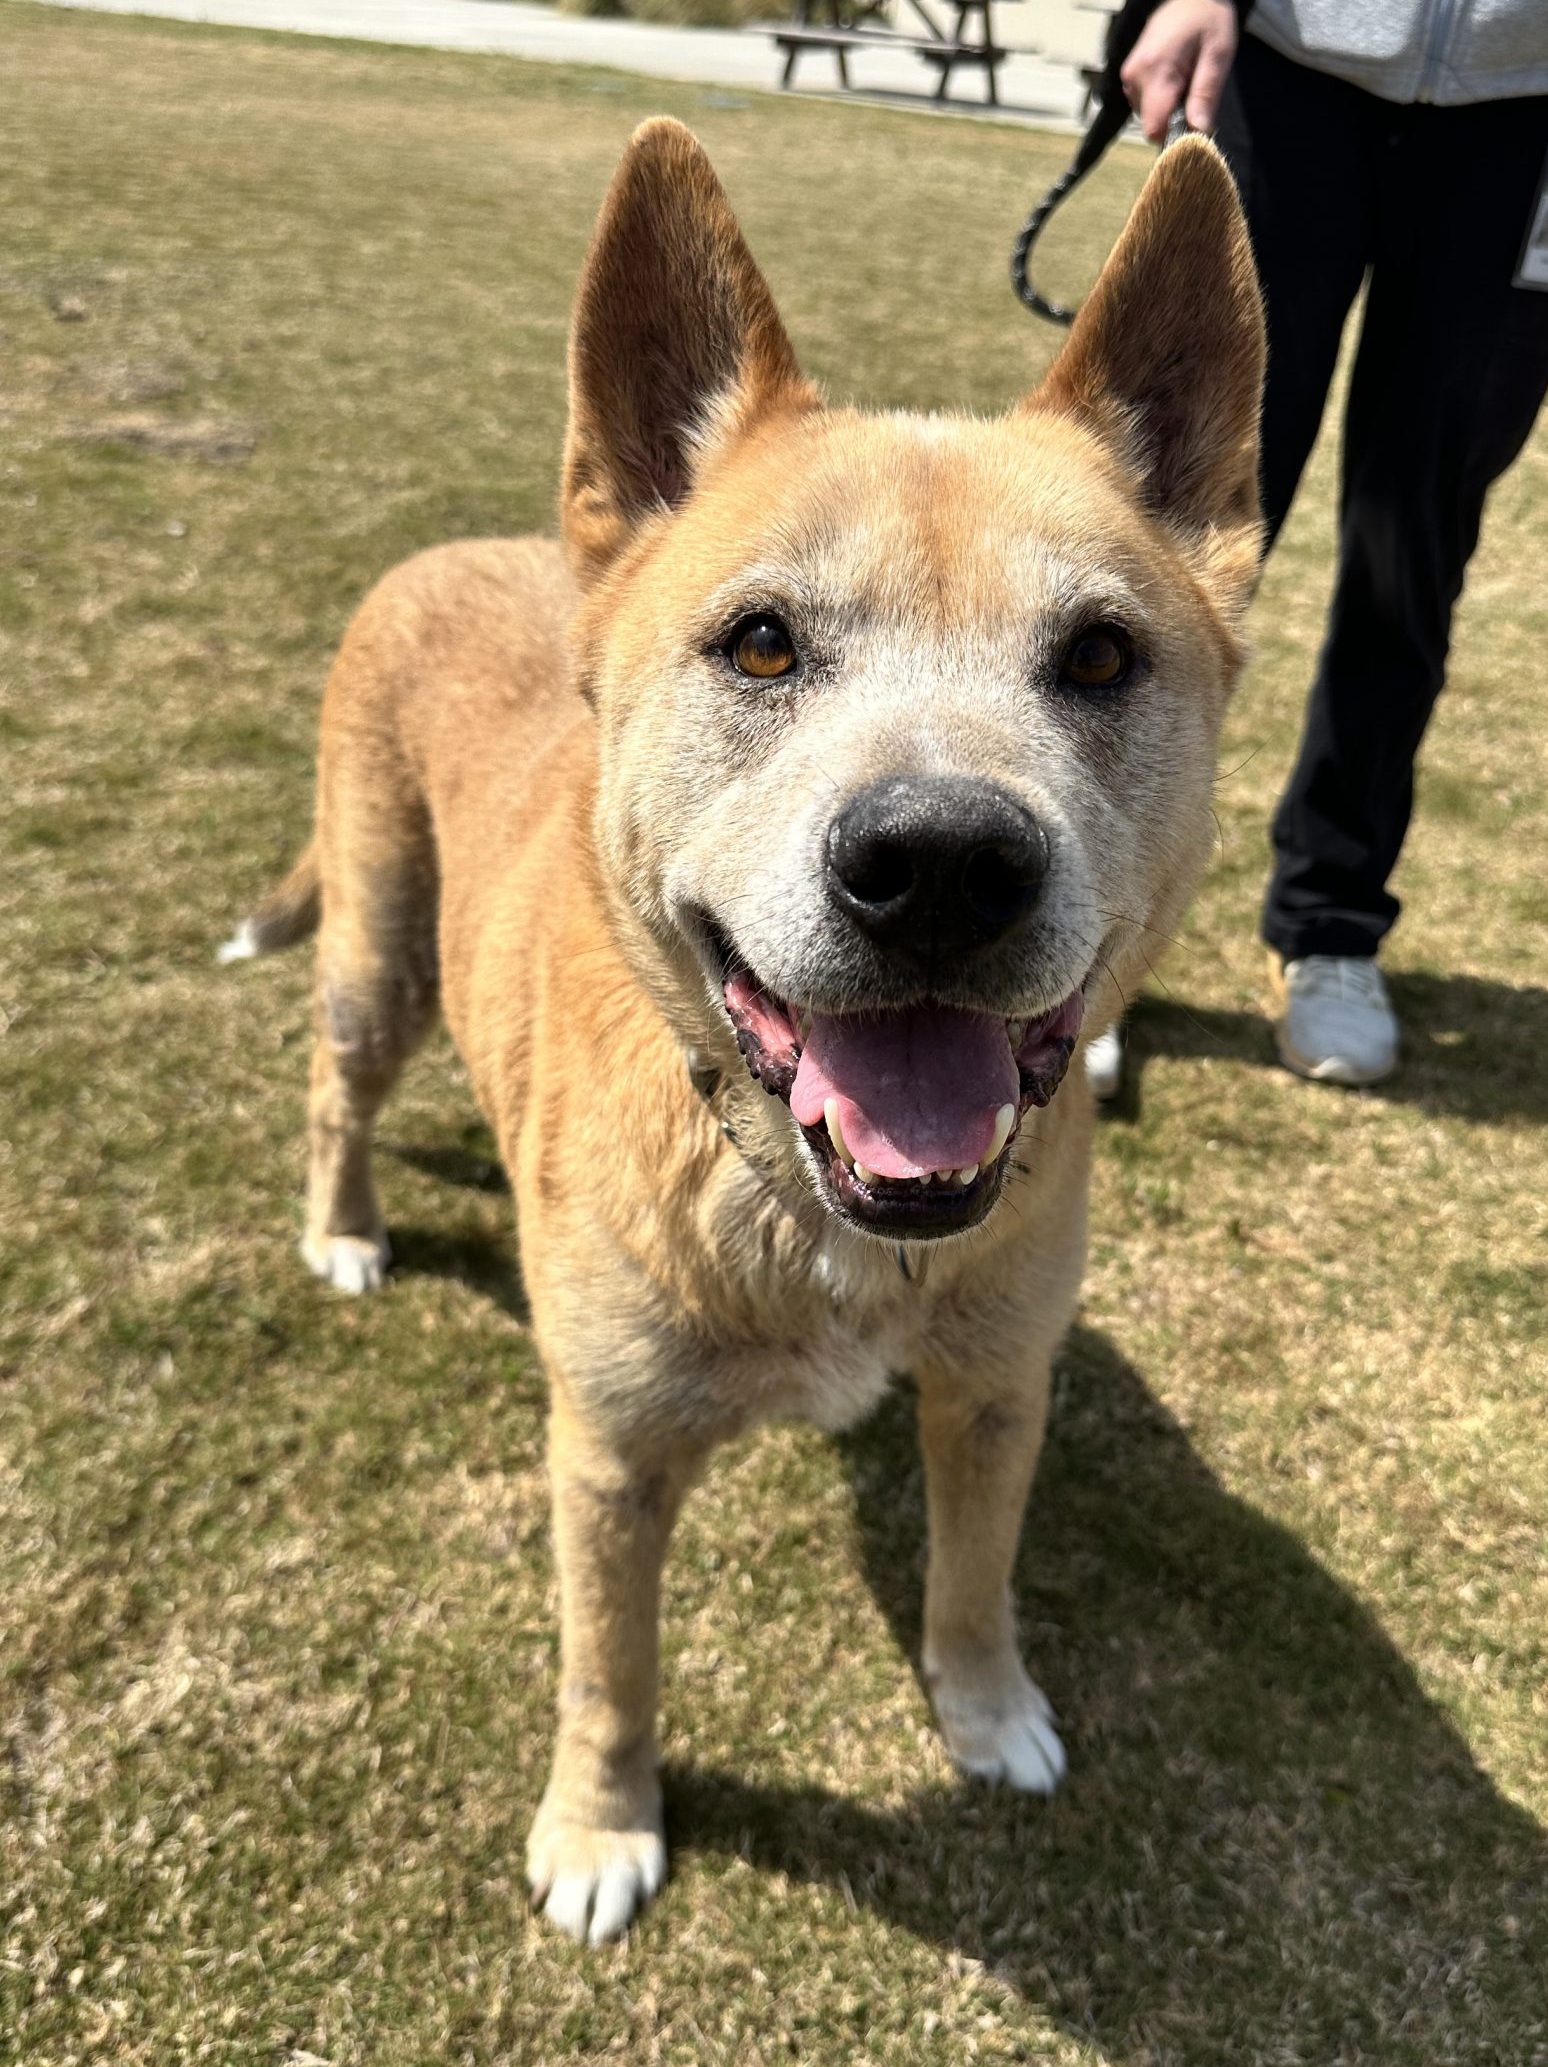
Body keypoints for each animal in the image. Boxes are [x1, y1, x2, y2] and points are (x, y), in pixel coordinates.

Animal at [226, 120, 1256, 1942]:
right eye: (761, 641)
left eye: (1098, 654)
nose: (941, 863)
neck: (805, 1202)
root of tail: (461, 548)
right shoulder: (608, 1452)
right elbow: (608, 1670)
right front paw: (599, 1825)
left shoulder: (997, 1385)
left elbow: (975, 1575)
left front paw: (986, 1709)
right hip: (376, 949)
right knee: (334, 1087)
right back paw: (343, 1230)